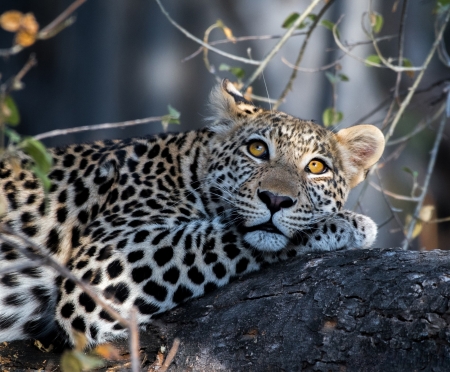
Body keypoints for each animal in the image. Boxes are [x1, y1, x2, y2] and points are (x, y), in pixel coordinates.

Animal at [0, 80, 384, 348]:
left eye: (317, 167)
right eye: (257, 149)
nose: (275, 199)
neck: (186, 165)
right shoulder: (101, 268)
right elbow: (215, 234)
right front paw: (345, 224)